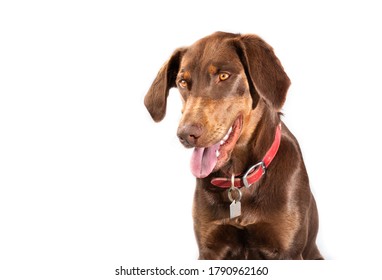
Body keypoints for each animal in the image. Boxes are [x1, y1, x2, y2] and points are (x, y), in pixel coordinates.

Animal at [143, 31, 322, 260]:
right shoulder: (209, 249)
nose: (185, 135)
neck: (239, 180)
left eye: (223, 76)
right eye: (182, 82)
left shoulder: (288, 251)